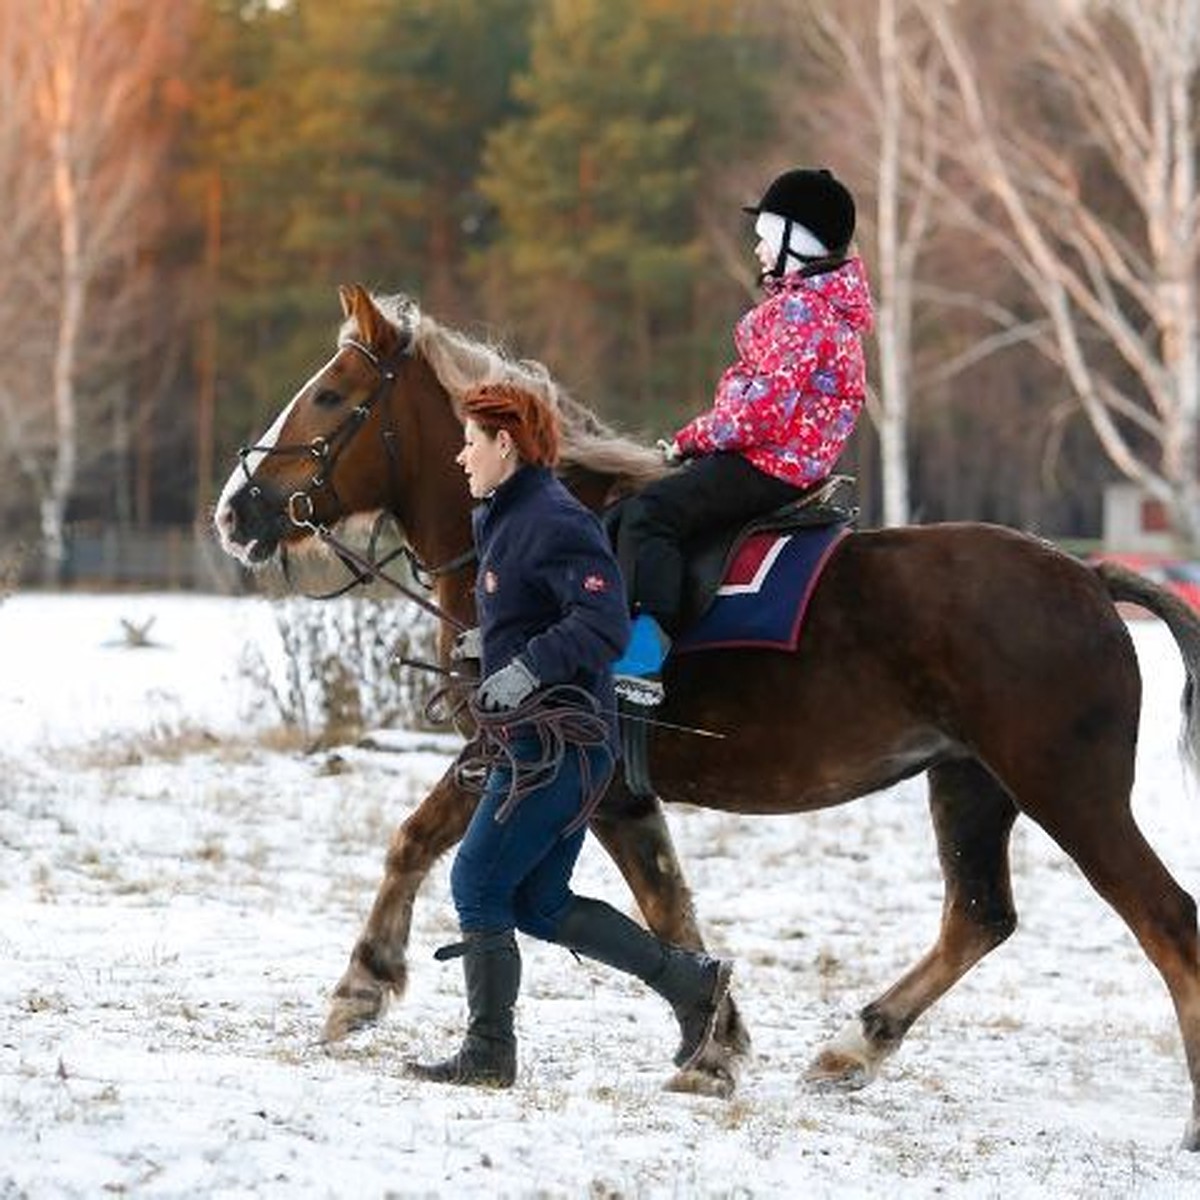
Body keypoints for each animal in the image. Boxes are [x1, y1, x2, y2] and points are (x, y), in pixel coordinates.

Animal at [220, 280, 1200, 1142]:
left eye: (330, 396)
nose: (236, 511)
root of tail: (1090, 579)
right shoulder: (610, 791)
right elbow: (665, 909)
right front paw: (717, 1041)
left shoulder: (524, 753)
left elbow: (418, 840)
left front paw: (360, 986)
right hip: (970, 784)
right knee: (980, 917)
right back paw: (854, 1047)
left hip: (1069, 792)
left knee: (1168, 924)